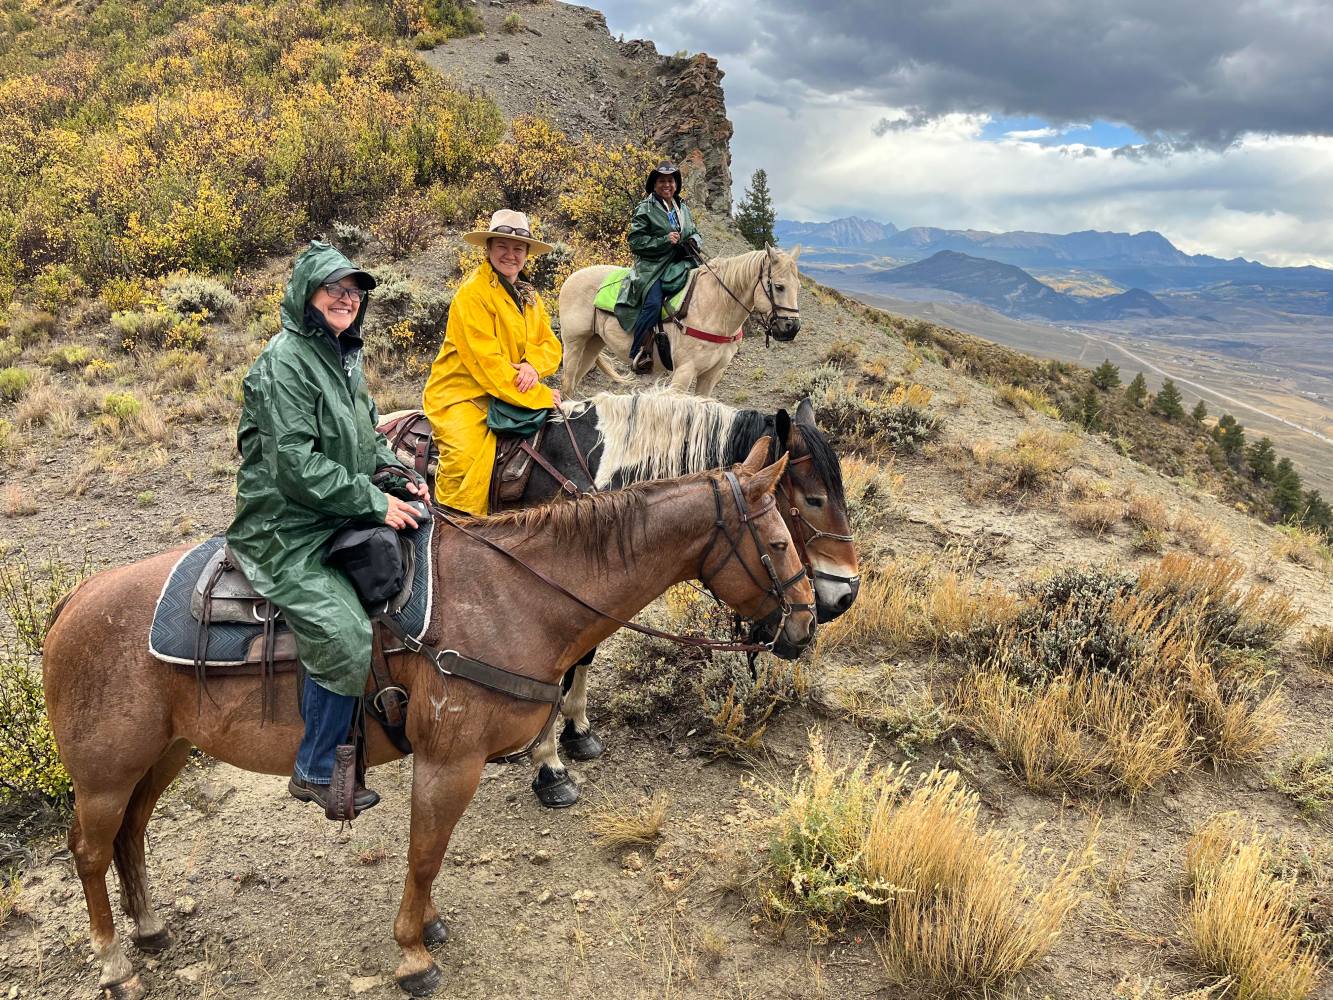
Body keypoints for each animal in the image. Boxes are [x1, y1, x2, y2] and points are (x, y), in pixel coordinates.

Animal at [44, 445, 810, 1000]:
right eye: (777, 542)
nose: (808, 623)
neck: (514, 596)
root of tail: (72, 603)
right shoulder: (449, 762)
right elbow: (424, 853)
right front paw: (412, 955)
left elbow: (431, 856)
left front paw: (430, 927)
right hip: (105, 773)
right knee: (90, 850)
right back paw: (114, 964)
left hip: (164, 753)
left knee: (132, 834)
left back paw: (148, 928)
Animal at [554, 245, 799, 397]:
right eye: (779, 286)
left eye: (798, 287)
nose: (791, 328)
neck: (716, 308)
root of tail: (571, 277)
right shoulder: (684, 372)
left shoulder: (711, 376)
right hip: (574, 343)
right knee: (566, 385)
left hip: (593, 344)